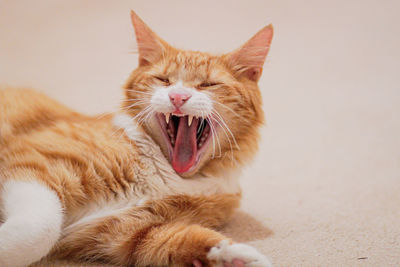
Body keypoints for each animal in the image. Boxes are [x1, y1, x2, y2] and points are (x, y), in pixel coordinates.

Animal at [0, 10, 272, 267]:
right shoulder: (32, 164)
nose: (178, 97)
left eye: (208, 84)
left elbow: (188, 239)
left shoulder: (126, 232)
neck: (170, 175)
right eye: (164, 80)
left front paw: (238, 257)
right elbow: (39, 231)